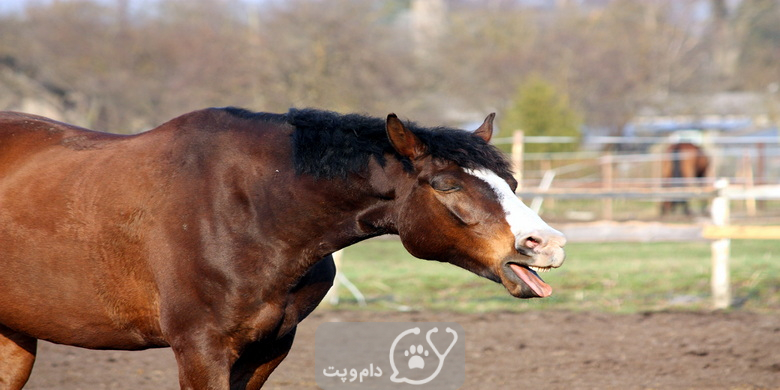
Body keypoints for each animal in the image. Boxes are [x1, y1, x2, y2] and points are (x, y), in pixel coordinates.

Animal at [0, 107, 564, 390]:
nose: (547, 244)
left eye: (511, 181)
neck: (253, 207)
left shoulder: (267, 350)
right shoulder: (200, 351)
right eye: (446, 184)